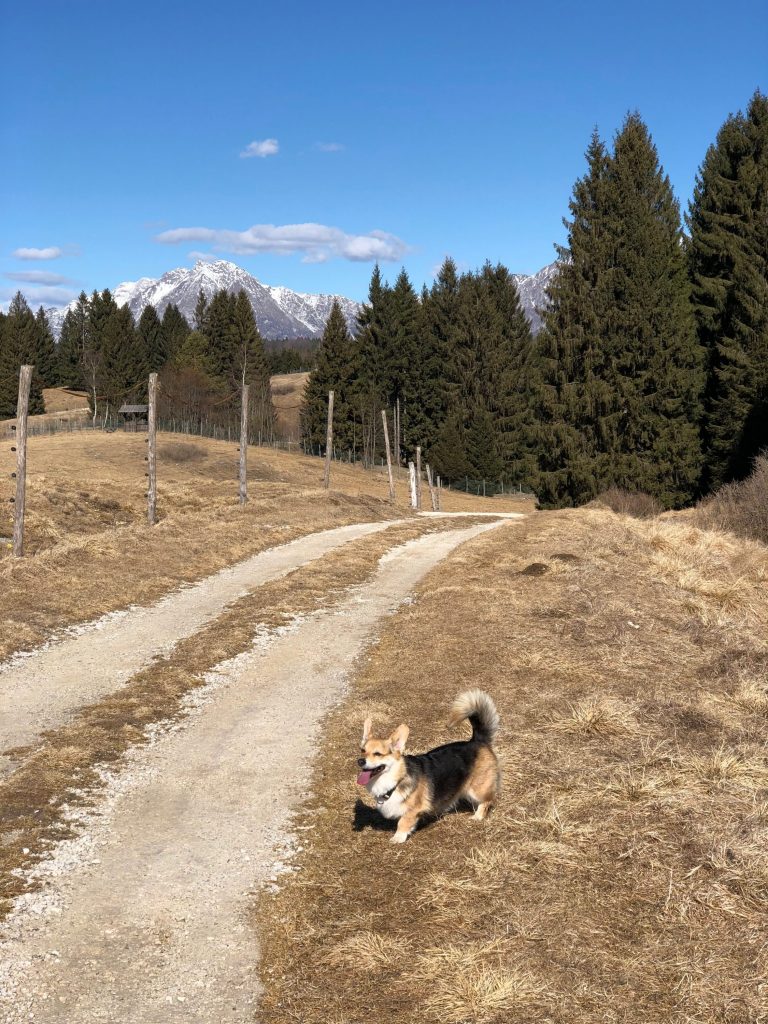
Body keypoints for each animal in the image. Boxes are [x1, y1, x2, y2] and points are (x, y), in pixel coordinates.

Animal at [358, 684, 501, 843]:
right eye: (362, 750)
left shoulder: (413, 810)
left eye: (377, 754)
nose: (360, 761)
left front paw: (398, 837)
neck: (396, 780)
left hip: (477, 788)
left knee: (486, 801)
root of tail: (477, 740)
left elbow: (403, 822)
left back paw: (478, 816)